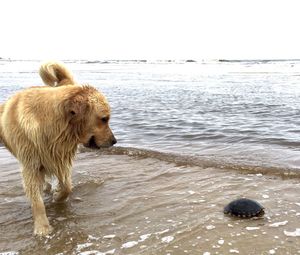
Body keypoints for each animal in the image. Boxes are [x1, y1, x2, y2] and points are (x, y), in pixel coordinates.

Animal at [0, 61, 116, 235]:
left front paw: (57, 196)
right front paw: (42, 228)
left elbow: (67, 186)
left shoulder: (61, 158)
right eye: (104, 119)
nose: (115, 141)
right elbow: (37, 201)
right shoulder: (30, 165)